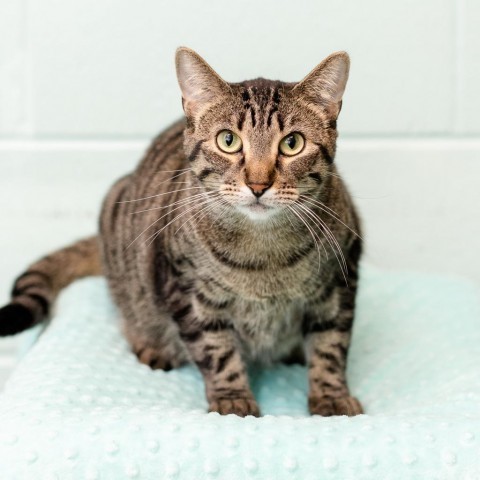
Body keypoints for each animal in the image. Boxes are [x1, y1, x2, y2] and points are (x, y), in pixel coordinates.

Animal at [0, 47, 362, 418]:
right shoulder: (187, 290)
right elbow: (217, 352)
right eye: (228, 140)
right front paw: (233, 398)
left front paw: (331, 395)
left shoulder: (339, 282)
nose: (258, 184)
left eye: (292, 143)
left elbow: (330, 346)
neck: (264, 253)